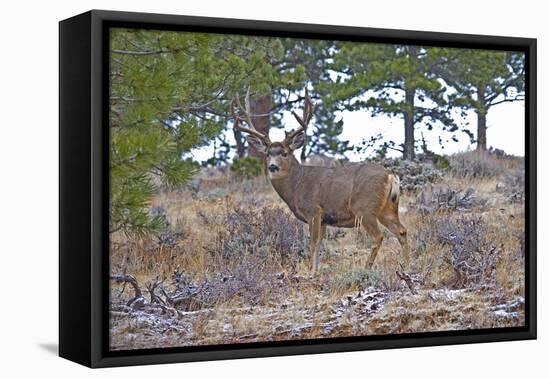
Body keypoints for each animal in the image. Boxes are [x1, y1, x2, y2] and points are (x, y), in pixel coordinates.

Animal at [232, 90, 410, 276]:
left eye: (285, 153)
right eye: (267, 153)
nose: (273, 166)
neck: (296, 186)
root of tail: (391, 175)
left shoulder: (313, 211)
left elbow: (312, 244)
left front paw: (310, 273)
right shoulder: (324, 219)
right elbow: (319, 245)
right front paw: (315, 271)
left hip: (364, 208)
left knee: (378, 236)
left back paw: (366, 269)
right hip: (387, 208)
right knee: (402, 231)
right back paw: (407, 266)